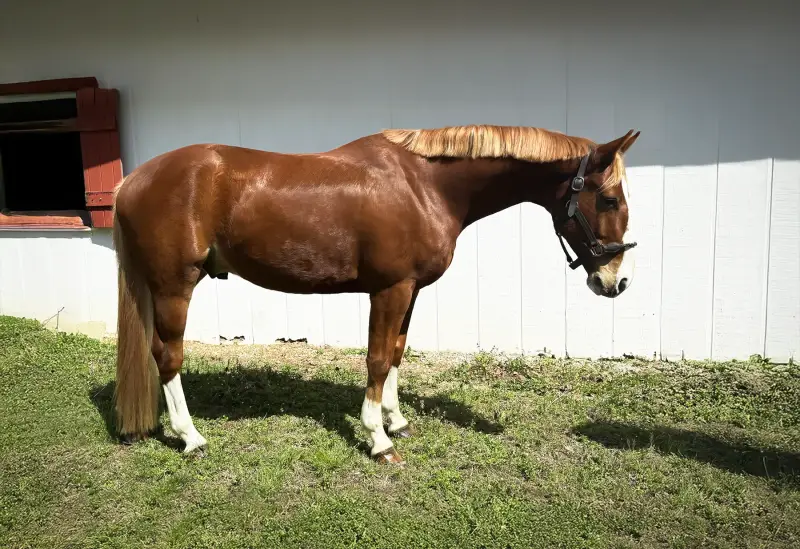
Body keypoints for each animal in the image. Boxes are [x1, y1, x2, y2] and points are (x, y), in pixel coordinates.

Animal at [111, 124, 640, 465]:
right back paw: (191, 438)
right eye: (609, 199)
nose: (616, 282)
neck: (425, 184)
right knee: (168, 356)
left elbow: (398, 353)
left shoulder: (411, 291)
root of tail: (132, 181)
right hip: (173, 286)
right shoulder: (389, 289)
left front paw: (396, 420)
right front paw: (378, 440)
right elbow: (377, 358)